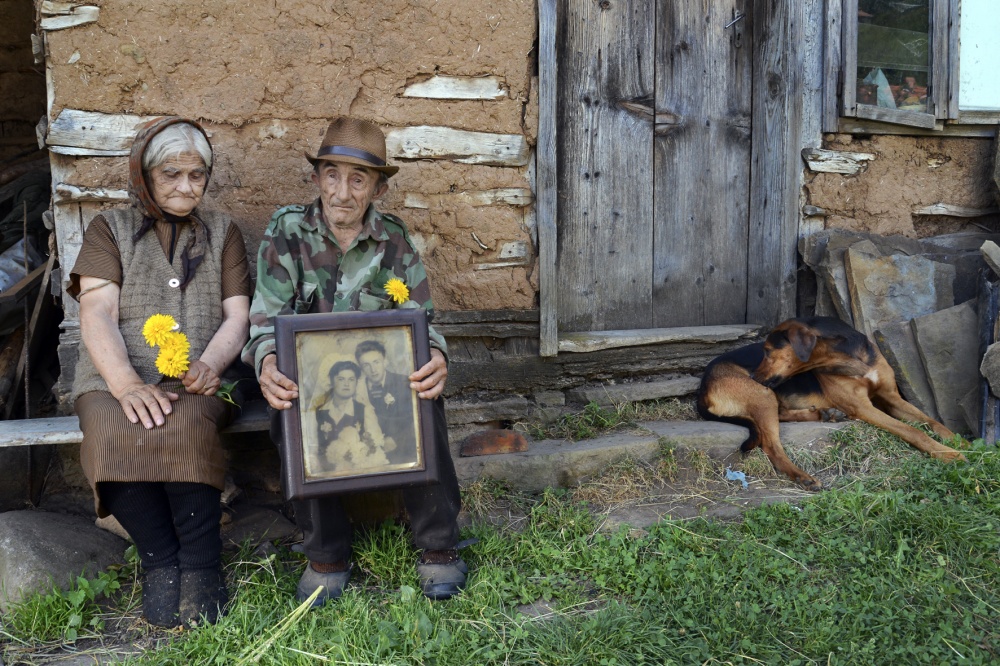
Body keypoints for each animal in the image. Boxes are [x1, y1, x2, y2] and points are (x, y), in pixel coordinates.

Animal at [697, 316, 966, 490]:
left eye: (768, 350)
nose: (752, 376)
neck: (849, 359)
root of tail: (702, 389)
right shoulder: (863, 407)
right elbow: (912, 431)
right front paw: (948, 454)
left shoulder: (892, 397)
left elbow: (931, 421)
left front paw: (958, 441)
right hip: (762, 395)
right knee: (771, 446)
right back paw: (803, 477)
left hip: (768, 395)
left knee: (781, 414)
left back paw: (826, 414)